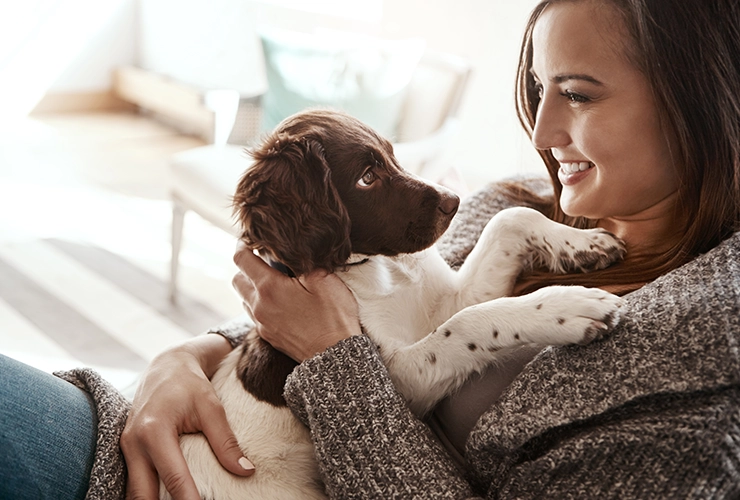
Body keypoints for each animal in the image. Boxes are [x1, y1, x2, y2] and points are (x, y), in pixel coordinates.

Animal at [162, 109, 624, 500]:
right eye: (367, 178)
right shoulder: (403, 380)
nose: (454, 202)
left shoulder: (451, 300)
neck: (381, 268)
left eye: (393, 154)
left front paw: (584, 244)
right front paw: (570, 307)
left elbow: (509, 219)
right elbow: (468, 323)